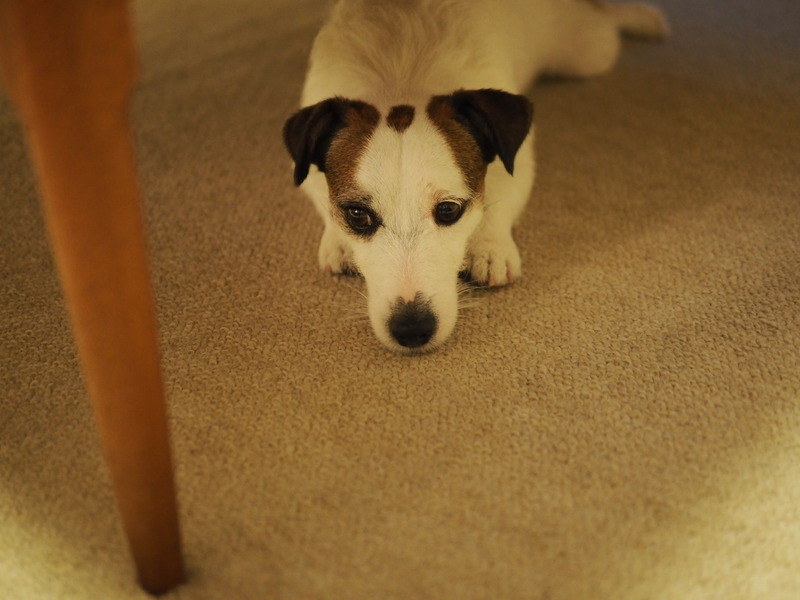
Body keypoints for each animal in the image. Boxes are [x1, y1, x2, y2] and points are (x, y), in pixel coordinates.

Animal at [283, 0, 668, 353]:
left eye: (449, 210)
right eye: (357, 215)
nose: (412, 330)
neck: (401, 83)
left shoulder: (519, 159)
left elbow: (501, 191)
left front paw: (489, 246)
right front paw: (337, 241)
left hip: (588, 52)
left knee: (604, 19)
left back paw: (642, 18)